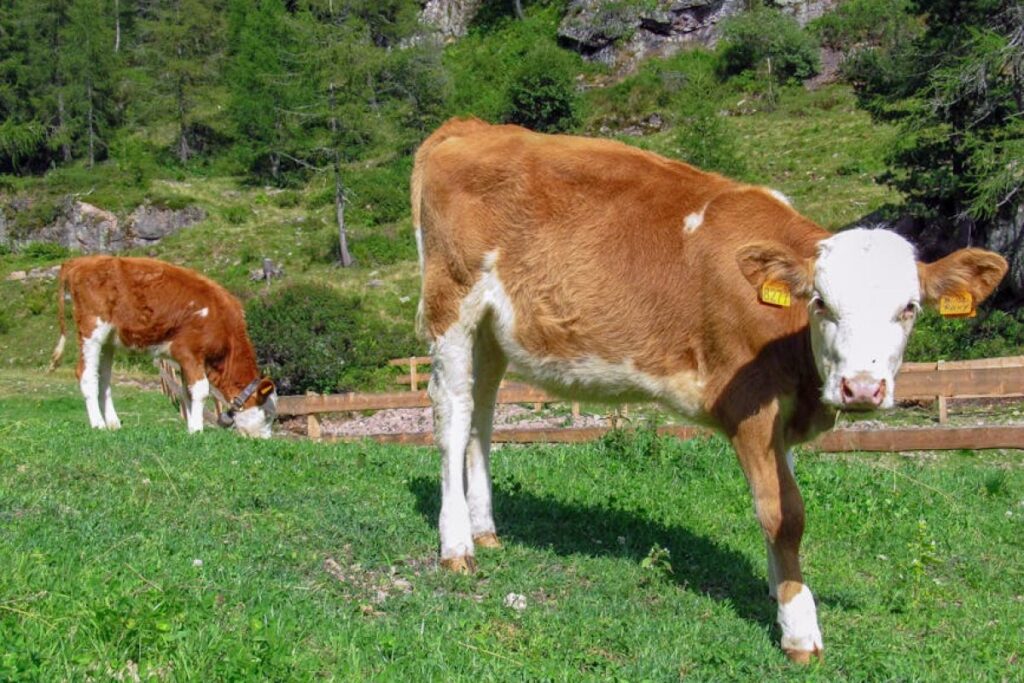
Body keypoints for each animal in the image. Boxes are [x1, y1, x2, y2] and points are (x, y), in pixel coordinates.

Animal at [49, 256, 277, 438]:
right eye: (268, 414)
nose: (265, 440)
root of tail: (81, 261)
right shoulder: (190, 353)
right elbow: (201, 391)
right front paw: (198, 430)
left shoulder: (184, 360)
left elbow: (187, 392)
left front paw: (191, 428)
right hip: (92, 331)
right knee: (86, 375)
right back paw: (98, 424)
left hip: (108, 341)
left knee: (103, 379)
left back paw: (113, 423)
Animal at [411, 118, 1008, 662]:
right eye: (820, 303)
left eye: (909, 308)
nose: (862, 388)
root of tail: (470, 126)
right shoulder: (748, 405)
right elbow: (785, 513)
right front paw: (798, 627)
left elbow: (780, 498)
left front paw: (776, 585)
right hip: (451, 305)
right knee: (453, 417)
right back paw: (457, 543)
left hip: (493, 332)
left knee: (482, 416)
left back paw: (486, 528)